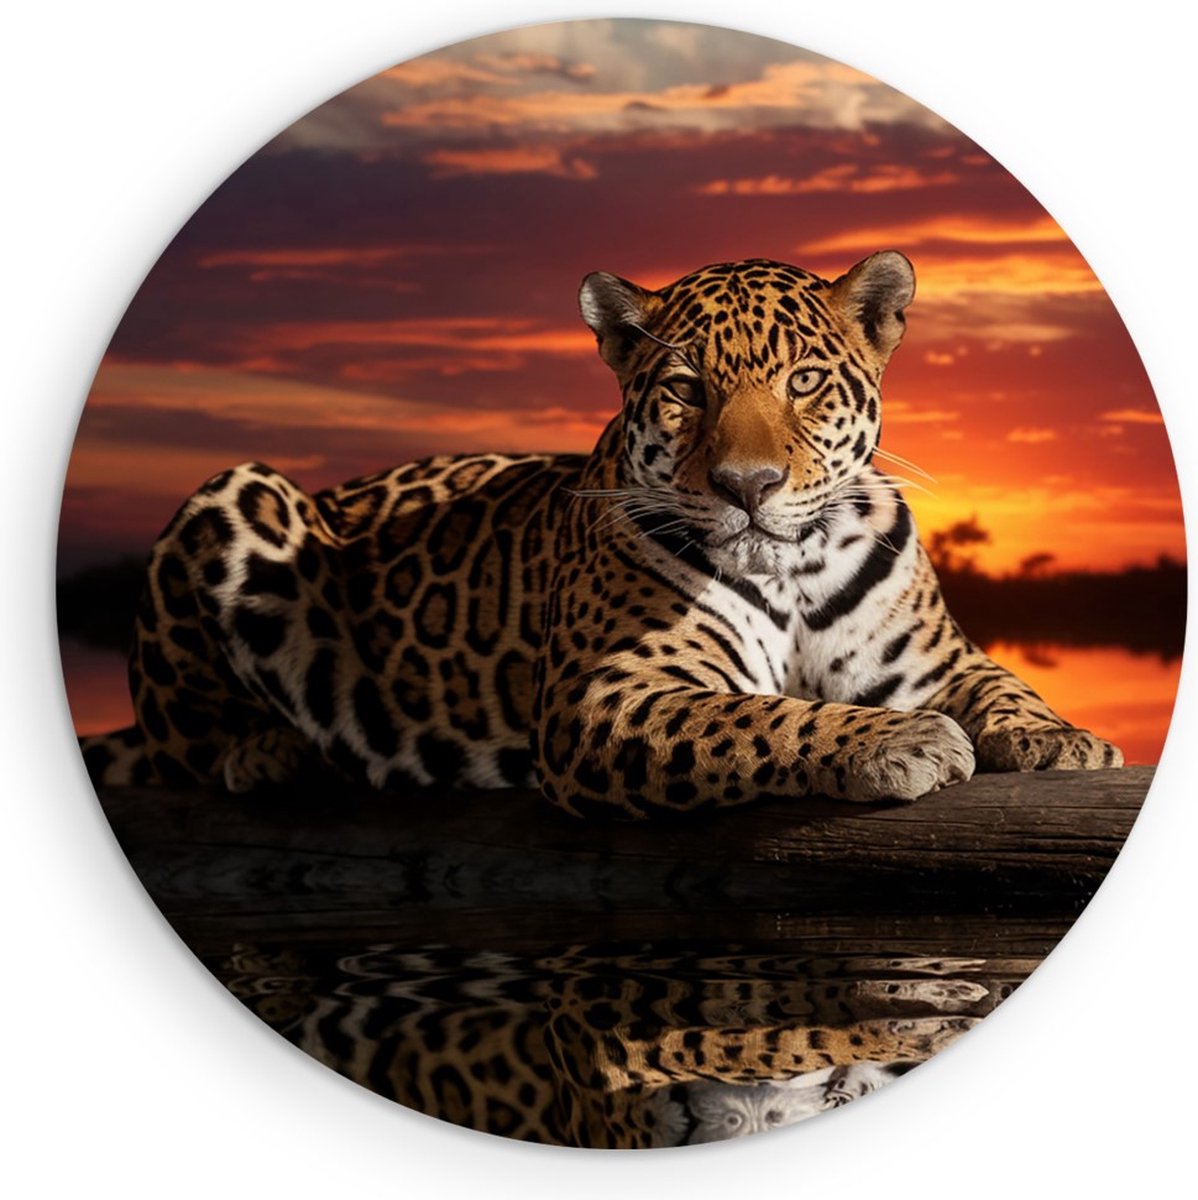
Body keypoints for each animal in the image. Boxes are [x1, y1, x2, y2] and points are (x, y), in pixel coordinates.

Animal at [79, 250, 1122, 816]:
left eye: (803, 383)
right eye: (686, 388)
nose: (748, 486)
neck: (788, 571)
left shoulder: (930, 658)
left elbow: (1003, 682)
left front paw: (1064, 739)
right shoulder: (607, 694)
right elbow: (762, 715)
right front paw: (897, 743)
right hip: (234, 493)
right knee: (181, 743)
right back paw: (271, 751)